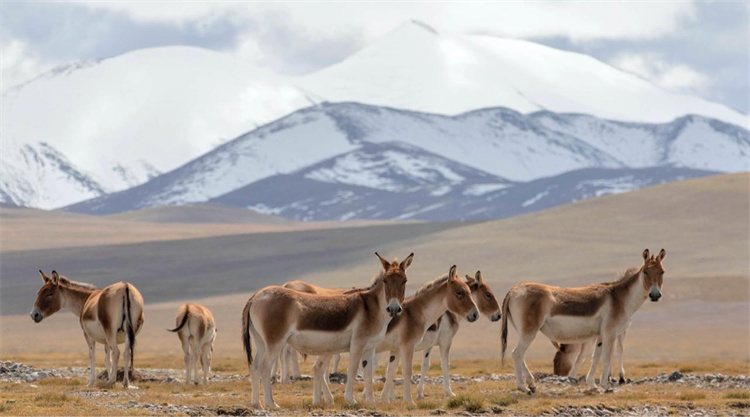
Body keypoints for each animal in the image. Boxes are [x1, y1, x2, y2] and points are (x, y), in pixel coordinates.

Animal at [244, 250, 414, 406]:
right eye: (385, 281)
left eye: (405, 281)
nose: (393, 309)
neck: (371, 307)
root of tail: (256, 296)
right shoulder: (357, 344)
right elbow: (352, 370)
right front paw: (351, 400)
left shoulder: (369, 348)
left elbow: (367, 373)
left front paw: (371, 402)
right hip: (275, 342)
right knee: (264, 367)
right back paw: (271, 403)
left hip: (261, 342)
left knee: (255, 367)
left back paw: (256, 403)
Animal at [502, 249, 668, 392]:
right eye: (645, 272)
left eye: (662, 272)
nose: (655, 295)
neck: (619, 298)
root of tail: (513, 290)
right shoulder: (610, 333)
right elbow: (606, 358)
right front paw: (605, 386)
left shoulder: (600, 336)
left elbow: (595, 358)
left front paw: (592, 385)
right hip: (529, 331)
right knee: (517, 354)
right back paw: (522, 387)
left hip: (524, 331)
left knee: (520, 355)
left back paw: (531, 384)